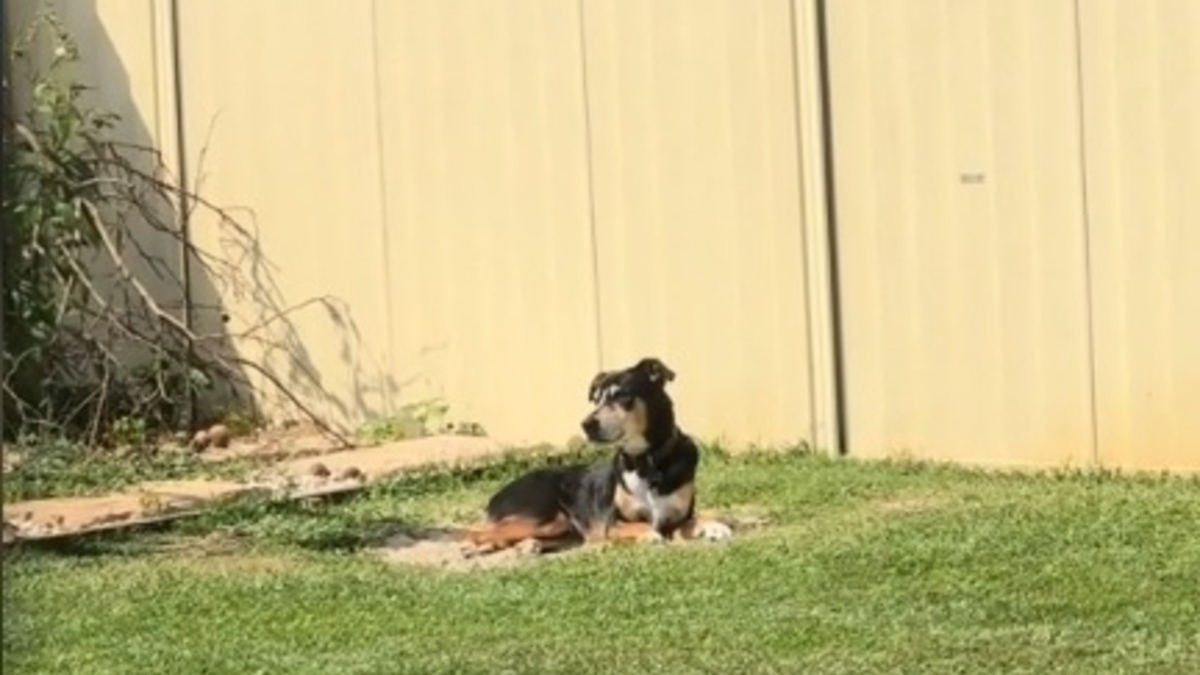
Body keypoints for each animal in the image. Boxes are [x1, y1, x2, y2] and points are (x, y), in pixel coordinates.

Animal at [463, 355, 734, 554]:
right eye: (597, 399)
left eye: (622, 395)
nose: (586, 424)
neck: (646, 462)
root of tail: (497, 495)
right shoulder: (614, 523)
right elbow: (641, 526)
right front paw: (649, 535)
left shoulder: (677, 517)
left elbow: (695, 518)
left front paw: (715, 527)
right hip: (547, 517)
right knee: (476, 532)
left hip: (558, 528)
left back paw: (527, 545)